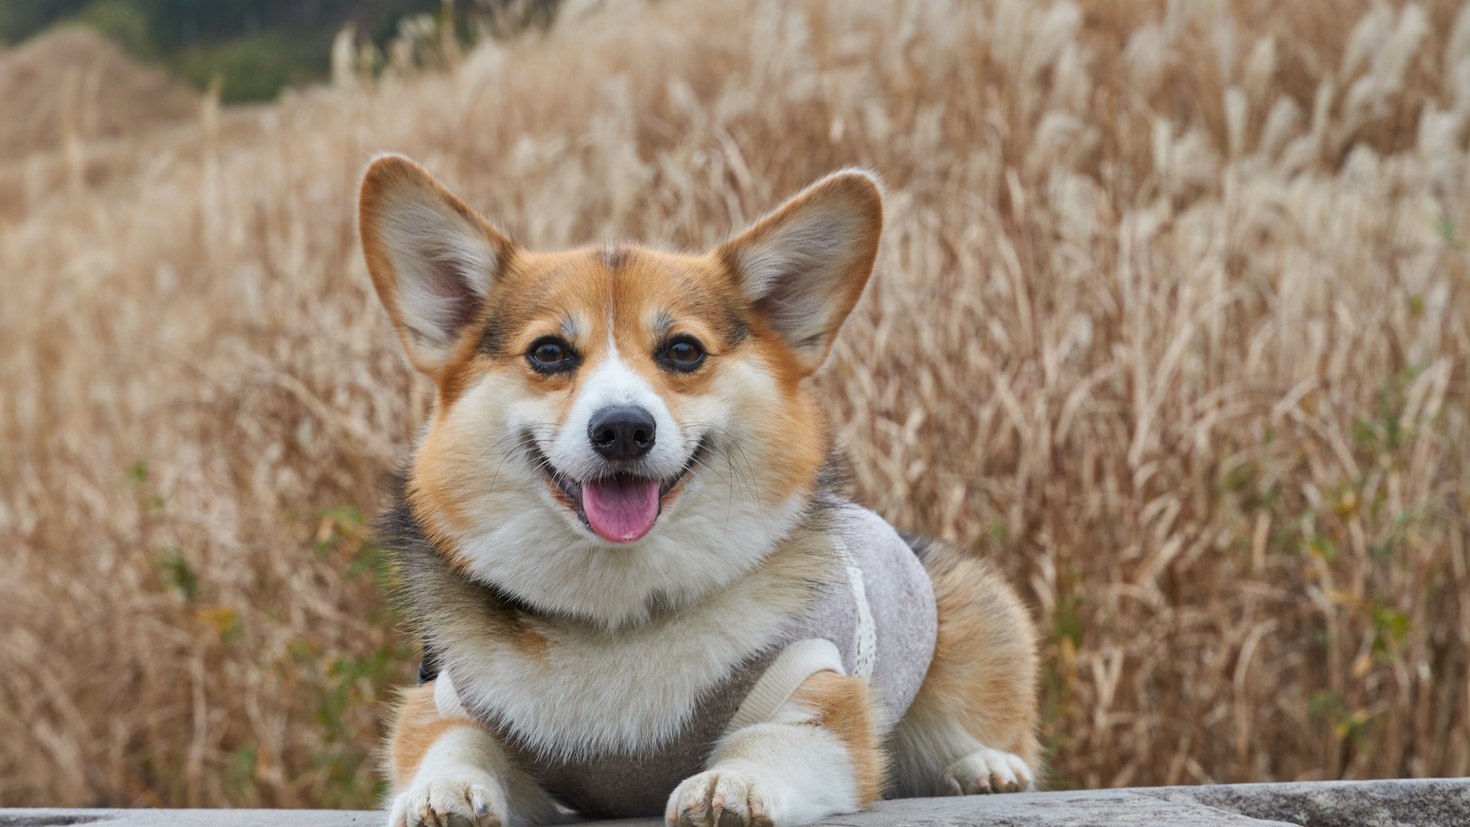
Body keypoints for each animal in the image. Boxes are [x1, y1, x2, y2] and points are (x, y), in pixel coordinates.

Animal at [360, 157, 1040, 827]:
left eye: (683, 350)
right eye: (548, 352)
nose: (623, 429)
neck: (618, 612)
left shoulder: (822, 700)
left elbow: (775, 741)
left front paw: (730, 785)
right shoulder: (442, 699)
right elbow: (451, 742)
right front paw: (442, 790)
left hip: (972, 630)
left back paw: (985, 767)